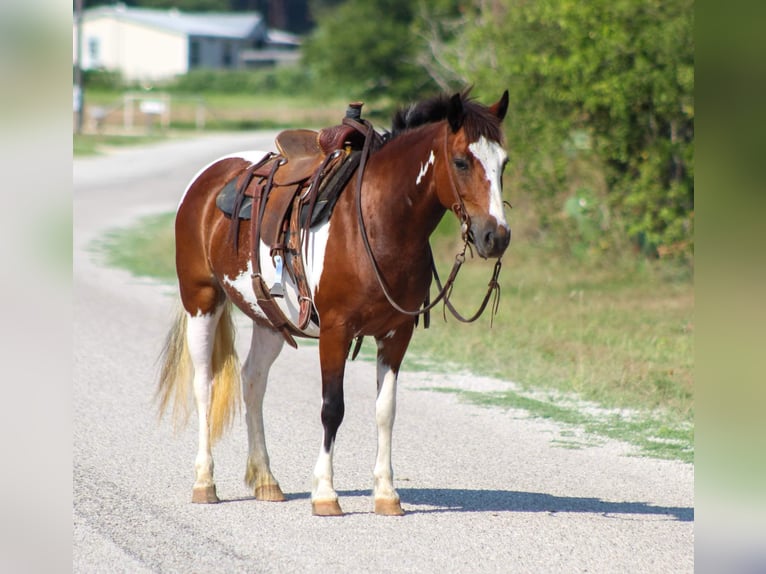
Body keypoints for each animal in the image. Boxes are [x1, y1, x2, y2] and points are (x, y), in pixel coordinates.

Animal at [157, 90, 511, 516]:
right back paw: (204, 482)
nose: (496, 237)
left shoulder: (396, 334)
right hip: (202, 300)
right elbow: (332, 408)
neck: (376, 223)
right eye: (461, 161)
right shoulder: (335, 332)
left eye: (504, 162)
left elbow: (385, 411)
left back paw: (266, 480)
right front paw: (325, 493)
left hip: (269, 319)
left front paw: (386, 494)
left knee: (253, 382)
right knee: (205, 384)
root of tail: (208, 179)